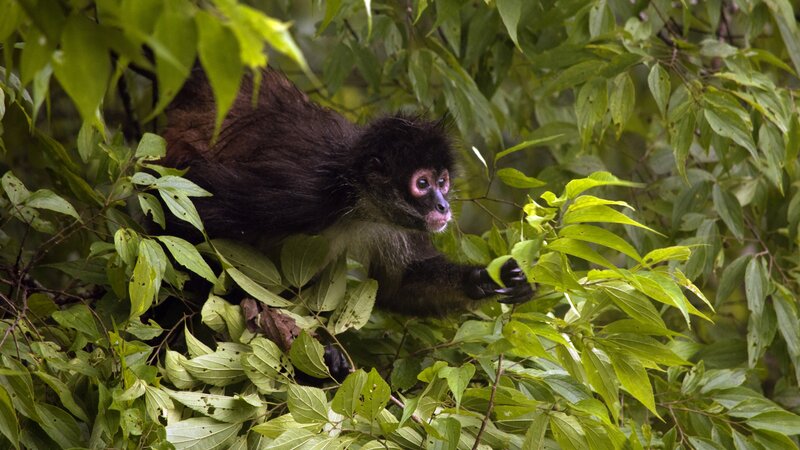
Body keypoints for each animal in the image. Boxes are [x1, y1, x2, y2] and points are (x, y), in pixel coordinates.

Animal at [160, 68, 536, 318]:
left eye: (442, 181)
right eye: (422, 184)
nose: (443, 206)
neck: (355, 201)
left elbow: (399, 285)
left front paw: (488, 279)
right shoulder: (302, 192)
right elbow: (189, 217)